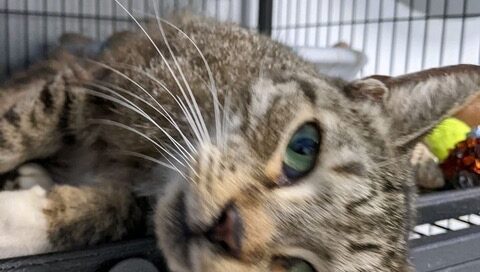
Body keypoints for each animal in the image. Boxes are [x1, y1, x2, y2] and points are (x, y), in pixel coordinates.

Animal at [0, 9, 480, 270]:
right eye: (303, 147)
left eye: (298, 269)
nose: (229, 229)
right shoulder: (104, 82)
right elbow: (22, 126)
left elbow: (113, 212)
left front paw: (24, 218)